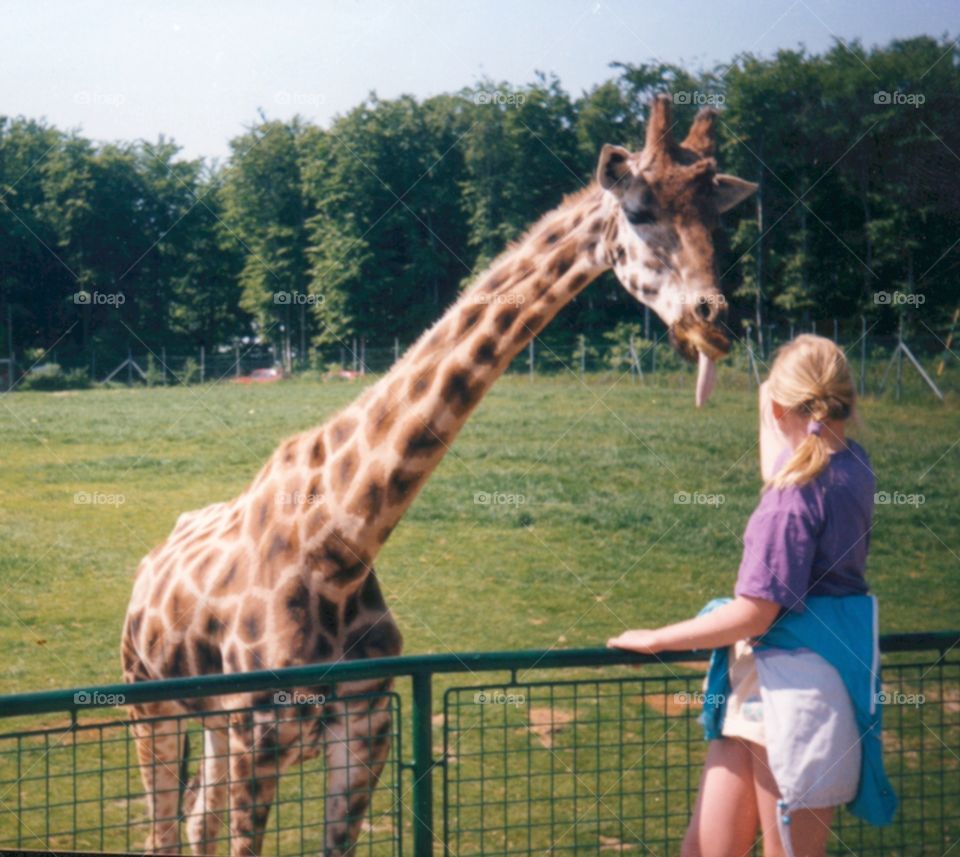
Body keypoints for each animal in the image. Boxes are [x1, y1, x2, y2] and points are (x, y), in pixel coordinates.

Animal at [120, 95, 757, 857]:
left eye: (720, 219)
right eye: (637, 209)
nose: (714, 320)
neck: (341, 546)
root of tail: (147, 565)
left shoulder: (365, 730)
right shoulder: (258, 735)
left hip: (209, 721)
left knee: (195, 819)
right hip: (150, 703)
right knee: (164, 824)